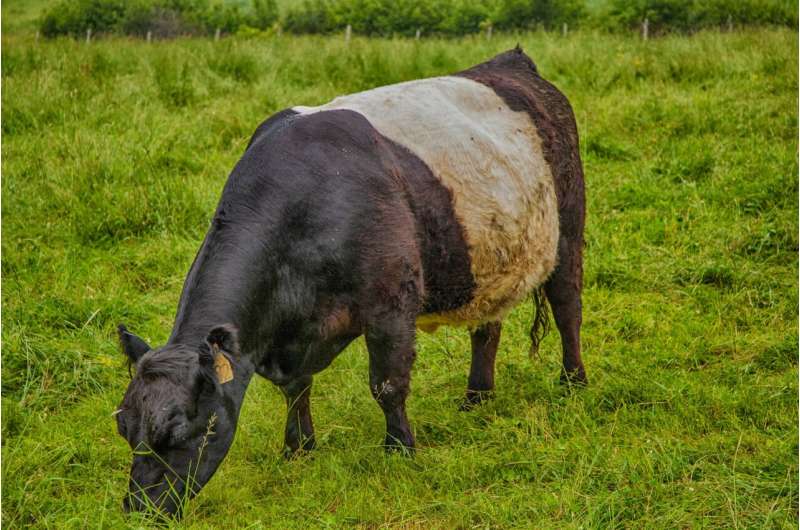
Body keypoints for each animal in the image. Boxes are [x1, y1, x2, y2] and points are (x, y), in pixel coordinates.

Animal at [114, 46, 588, 516]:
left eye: (177, 430)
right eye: (123, 425)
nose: (139, 508)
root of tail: (512, 61)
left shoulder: (391, 305)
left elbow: (387, 384)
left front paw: (400, 450)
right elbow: (296, 389)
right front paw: (299, 449)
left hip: (569, 230)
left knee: (567, 310)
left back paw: (572, 383)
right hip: (491, 259)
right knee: (486, 327)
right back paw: (476, 397)